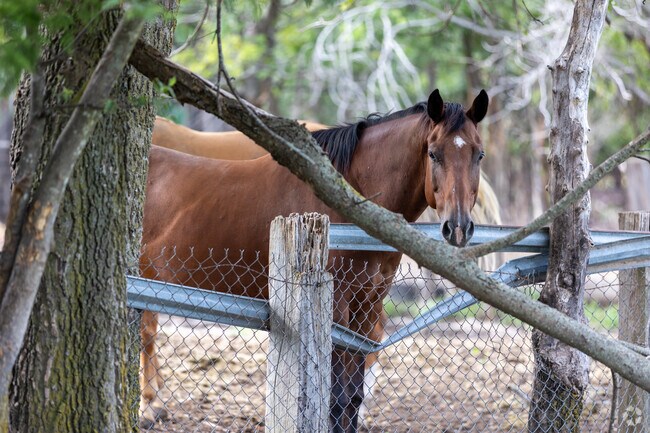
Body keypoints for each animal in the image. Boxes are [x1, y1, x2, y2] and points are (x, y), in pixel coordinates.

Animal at [140, 89, 489, 433]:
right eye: (433, 153)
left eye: (479, 154)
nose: (459, 227)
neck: (348, 199)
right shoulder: (336, 309)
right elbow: (336, 397)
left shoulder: (366, 308)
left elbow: (353, 397)